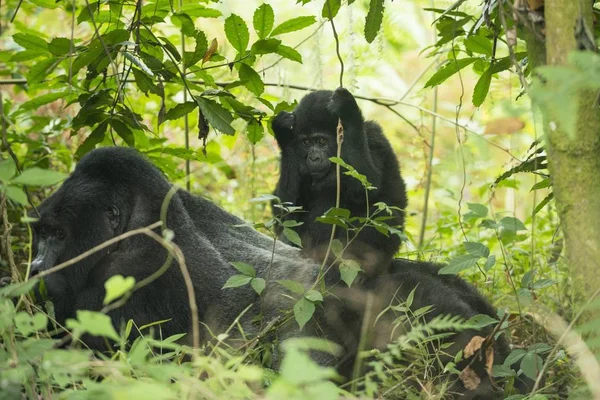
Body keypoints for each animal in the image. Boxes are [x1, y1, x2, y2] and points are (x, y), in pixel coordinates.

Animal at [272, 86, 408, 276]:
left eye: (321, 141)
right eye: (306, 142)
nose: (313, 158)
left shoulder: (375, 138)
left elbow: (366, 188)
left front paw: (348, 110)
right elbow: (285, 212)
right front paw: (283, 133)